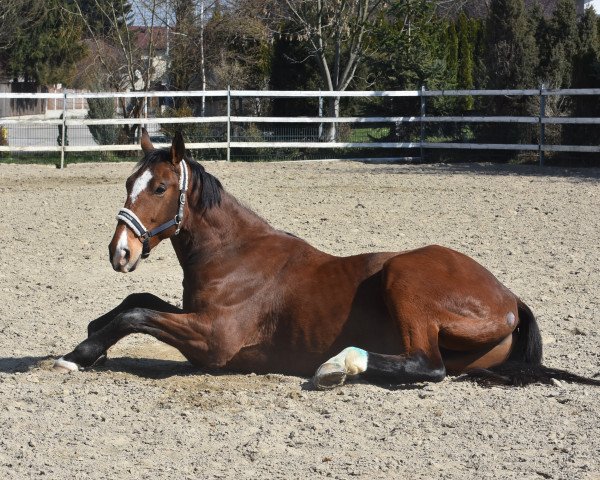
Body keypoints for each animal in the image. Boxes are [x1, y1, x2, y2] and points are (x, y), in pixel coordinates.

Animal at [54, 131, 596, 390]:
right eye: (129, 182)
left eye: (161, 188)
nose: (120, 252)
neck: (235, 256)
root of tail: (510, 300)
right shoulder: (193, 314)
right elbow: (137, 299)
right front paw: (91, 339)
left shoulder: (213, 341)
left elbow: (136, 313)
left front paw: (79, 354)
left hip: (403, 278)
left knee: (427, 366)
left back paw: (336, 366)